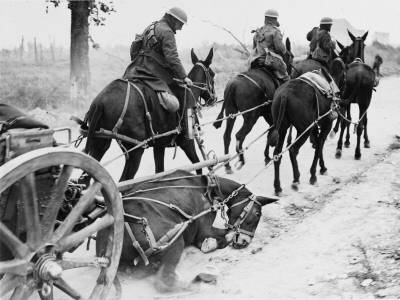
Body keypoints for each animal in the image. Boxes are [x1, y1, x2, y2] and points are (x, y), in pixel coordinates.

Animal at [81, 48, 216, 183]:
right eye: (213, 74)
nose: (214, 98)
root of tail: (100, 101)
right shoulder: (187, 142)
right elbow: (198, 166)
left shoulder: (159, 146)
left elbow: (159, 172)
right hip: (135, 149)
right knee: (125, 179)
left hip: (99, 143)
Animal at [212, 37, 294, 173]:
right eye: (291, 56)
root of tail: (233, 85)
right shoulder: (271, 115)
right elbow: (271, 132)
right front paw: (267, 156)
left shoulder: (267, 114)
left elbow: (270, 131)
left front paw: (267, 156)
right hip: (251, 117)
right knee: (239, 135)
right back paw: (241, 159)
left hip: (230, 114)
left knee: (227, 136)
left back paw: (227, 165)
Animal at [266, 58, 346, 197]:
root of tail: (285, 95)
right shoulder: (326, 123)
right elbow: (319, 145)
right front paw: (314, 174)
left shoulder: (314, 126)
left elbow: (318, 143)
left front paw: (322, 168)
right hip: (304, 129)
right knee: (293, 150)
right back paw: (296, 179)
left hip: (282, 127)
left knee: (277, 153)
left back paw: (278, 187)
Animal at [332, 30, 376, 161]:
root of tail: (360, 74)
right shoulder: (362, 103)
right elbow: (361, 120)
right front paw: (365, 141)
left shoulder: (346, 100)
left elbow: (348, 120)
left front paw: (346, 141)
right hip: (364, 102)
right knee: (360, 125)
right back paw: (357, 152)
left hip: (351, 99)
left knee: (347, 123)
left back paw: (341, 148)